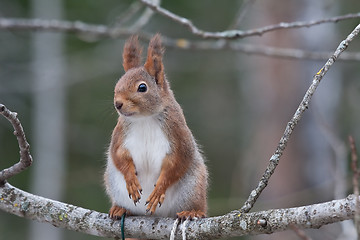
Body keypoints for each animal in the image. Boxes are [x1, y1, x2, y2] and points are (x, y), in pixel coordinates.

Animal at [104, 34, 208, 221]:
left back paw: (192, 211)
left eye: (142, 87)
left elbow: (177, 161)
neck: (144, 119)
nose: (118, 104)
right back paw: (120, 209)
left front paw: (159, 190)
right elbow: (118, 155)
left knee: (196, 204)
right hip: (113, 182)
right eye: (118, 83)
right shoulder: (120, 134)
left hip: (193, 186)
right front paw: (131, 180)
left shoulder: (177, 133)